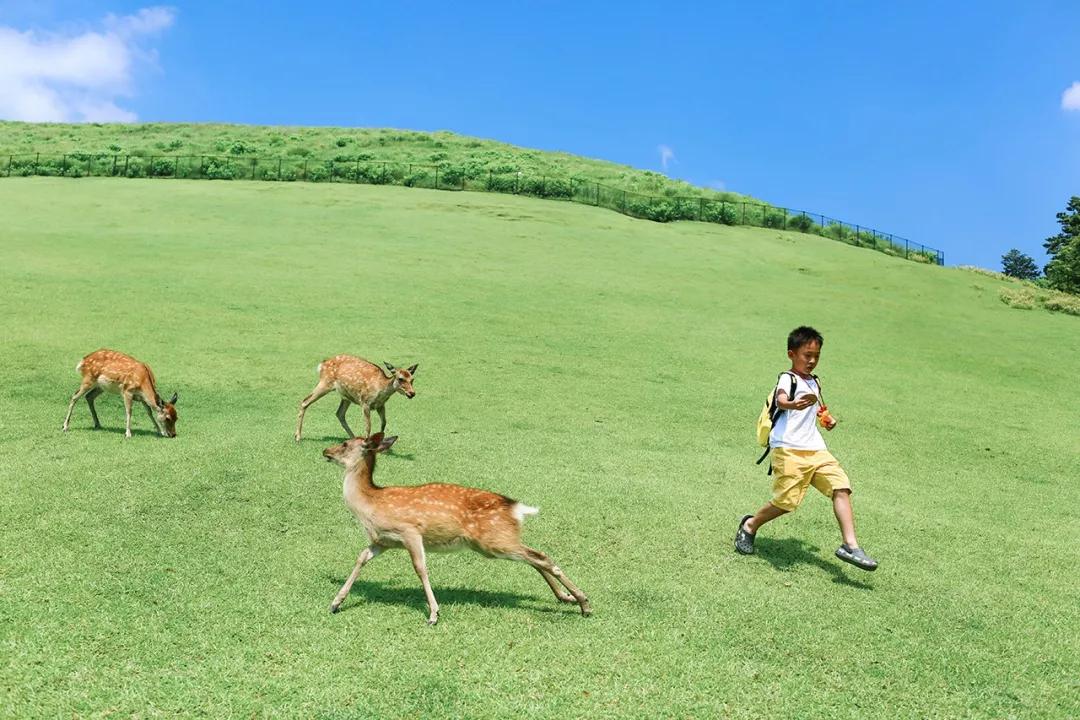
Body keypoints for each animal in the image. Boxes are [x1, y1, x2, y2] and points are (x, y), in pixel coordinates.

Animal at [321, 433, 591, 626]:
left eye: (344, 443)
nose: (325, 451)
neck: (370, 505)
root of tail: (517, 509)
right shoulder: (383, 541)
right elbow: (361, 558)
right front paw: (335, 602)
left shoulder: (410, 531)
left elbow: (420, 568)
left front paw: (433, 614)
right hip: (495, 543)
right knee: (534, 558)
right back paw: (566, 598)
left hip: (493, 541)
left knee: (541, 557)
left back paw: (584, 603)